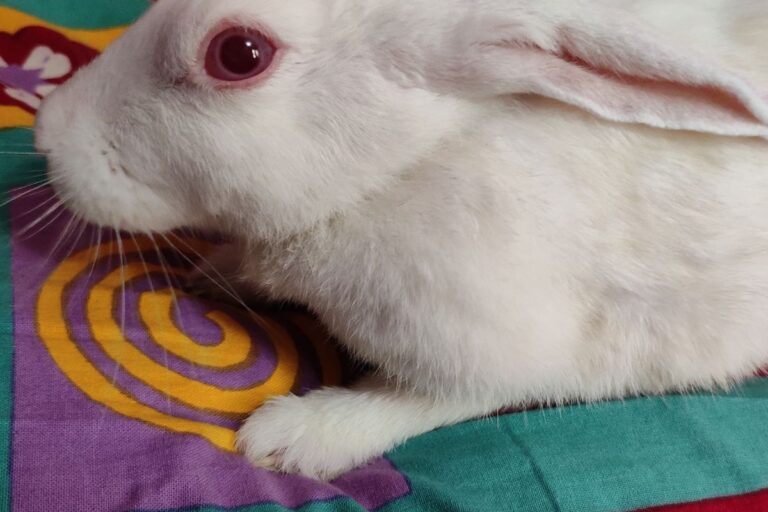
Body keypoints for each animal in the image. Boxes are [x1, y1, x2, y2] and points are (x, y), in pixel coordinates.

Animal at [34, 0, 768, 480]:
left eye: (239, 54)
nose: (45, 134)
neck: (398, 167)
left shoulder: (498, 344)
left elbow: (427, 399)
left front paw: (289, 438)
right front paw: (211, 271)